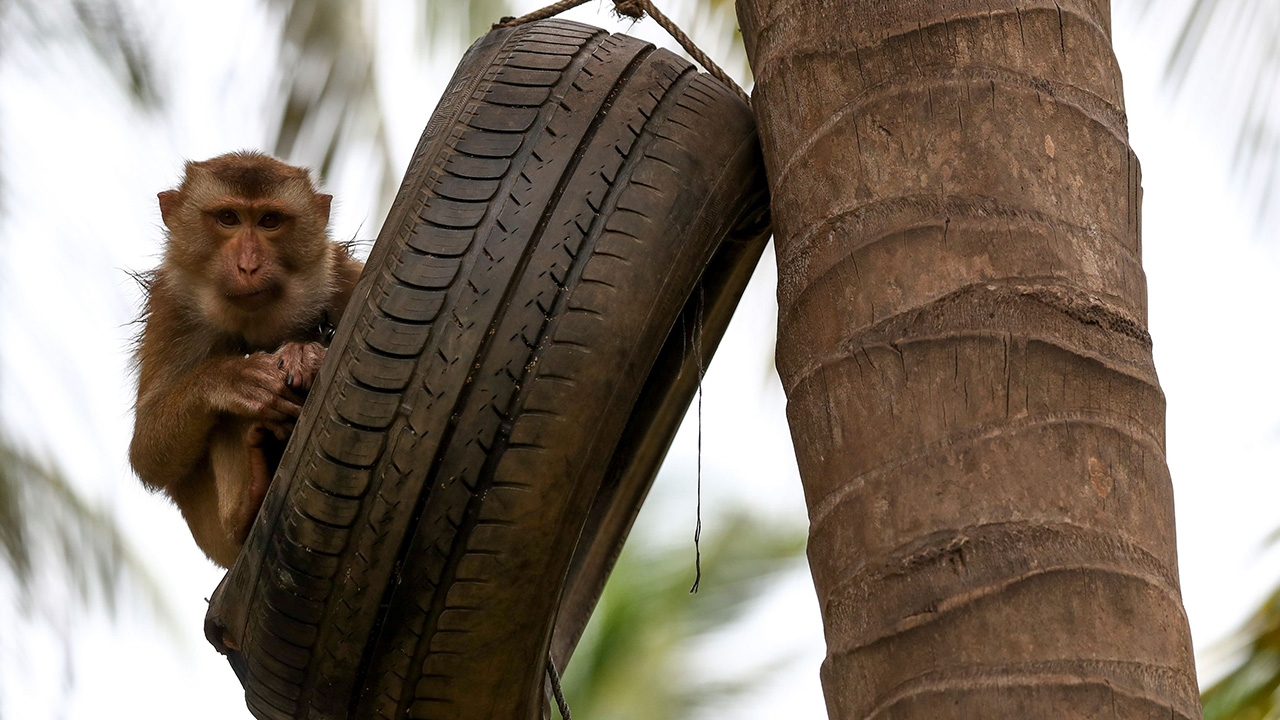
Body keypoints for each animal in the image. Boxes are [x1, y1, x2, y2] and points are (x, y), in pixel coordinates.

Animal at [129, 149, 363, 566]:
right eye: (228, 218)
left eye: (269, 221)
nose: (249, 266)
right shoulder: (170, 308)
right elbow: (148, 452)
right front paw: (233, 379)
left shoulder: (342, 276)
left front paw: (304, 352)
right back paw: (246, 504)